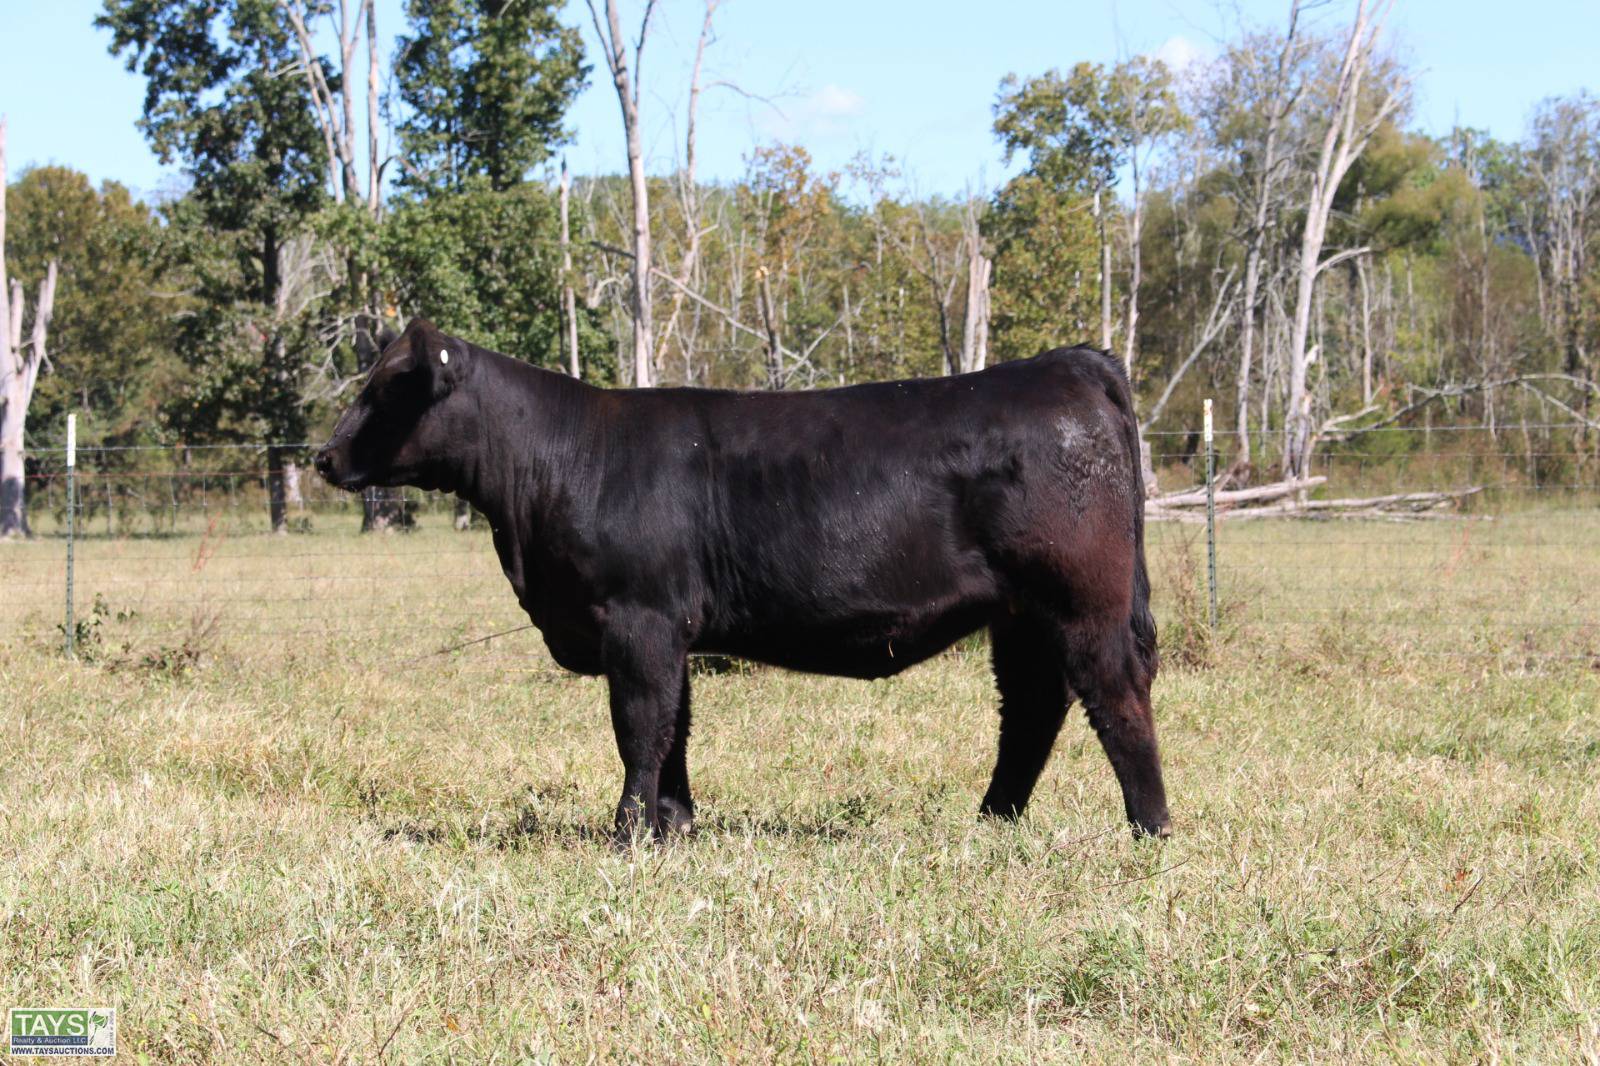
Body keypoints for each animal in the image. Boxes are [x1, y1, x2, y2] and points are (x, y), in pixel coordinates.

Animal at [314, 319, 1170, 844]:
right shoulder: (670, 629)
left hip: (1081, 600)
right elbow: (676, 727)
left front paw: (628, 831)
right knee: (1032, 707)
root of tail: (1065, 363)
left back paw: (1150, 828)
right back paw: (993, 820)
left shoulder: (639, 620)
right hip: (1020, 613)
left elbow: (641, 725)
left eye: (387, 387)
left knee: (1115, 697)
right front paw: (675, 824)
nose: (322, 456)